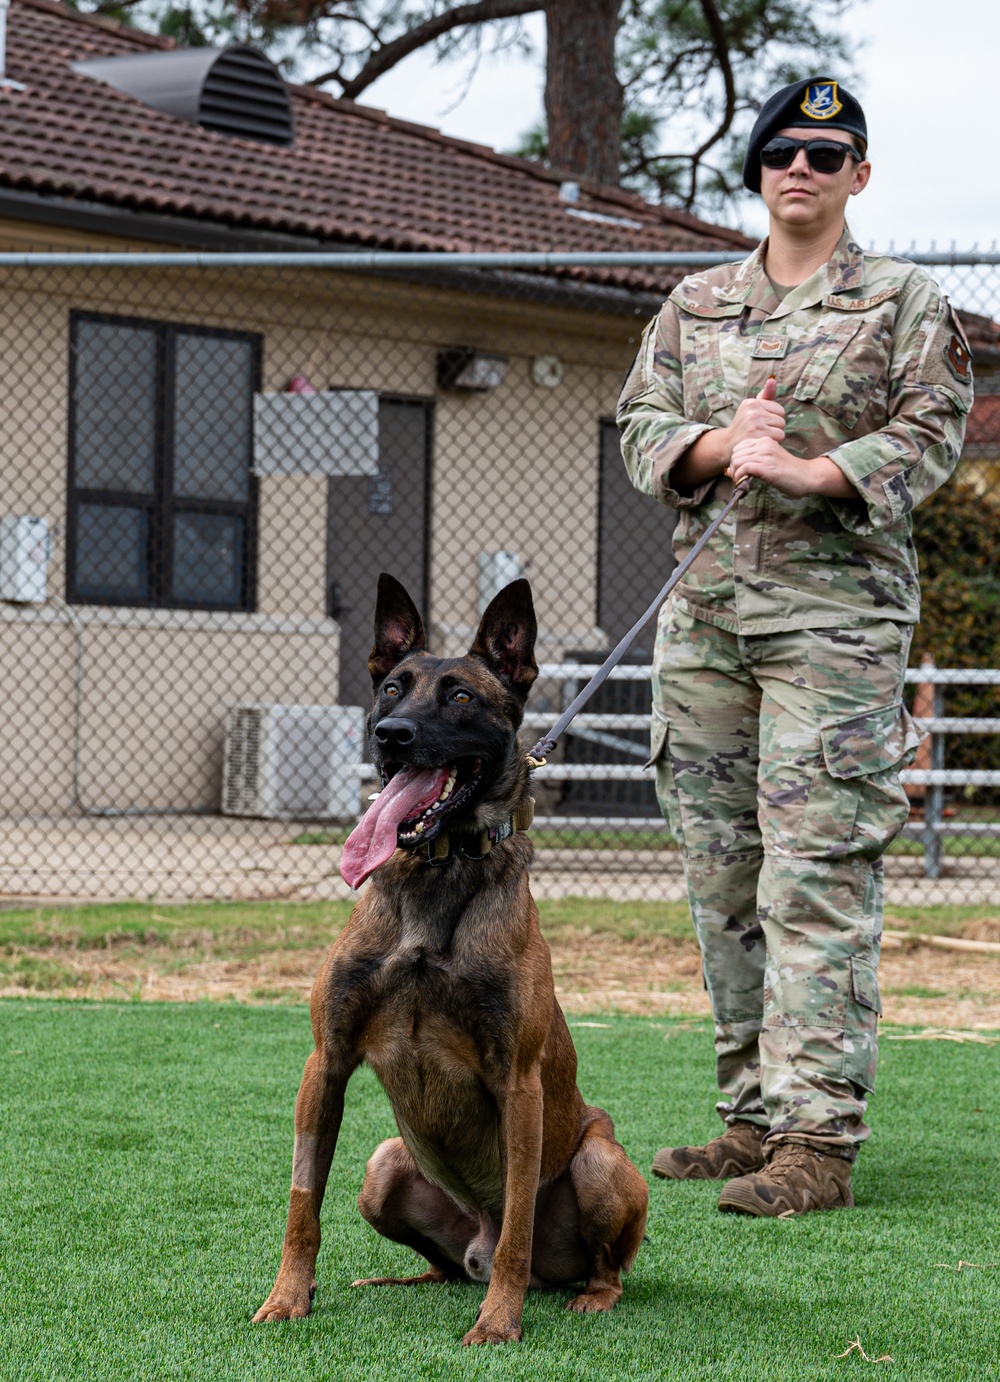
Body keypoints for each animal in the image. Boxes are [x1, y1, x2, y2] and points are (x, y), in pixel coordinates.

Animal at [251, 577, 649, 1343]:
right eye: (392, 689)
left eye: (461, 695)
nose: (392, 734)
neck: (436, 876)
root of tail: (475, 1243)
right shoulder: (327, 1062)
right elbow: (301, 1202)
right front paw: (288, 1298)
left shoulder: (519, 1085)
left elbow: (520, 1219)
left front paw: (497, 1323)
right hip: (383, 1166)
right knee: (437, 1261)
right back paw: (405, 1276)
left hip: (599, 1159)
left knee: (594, 1262)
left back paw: (584, 1295)